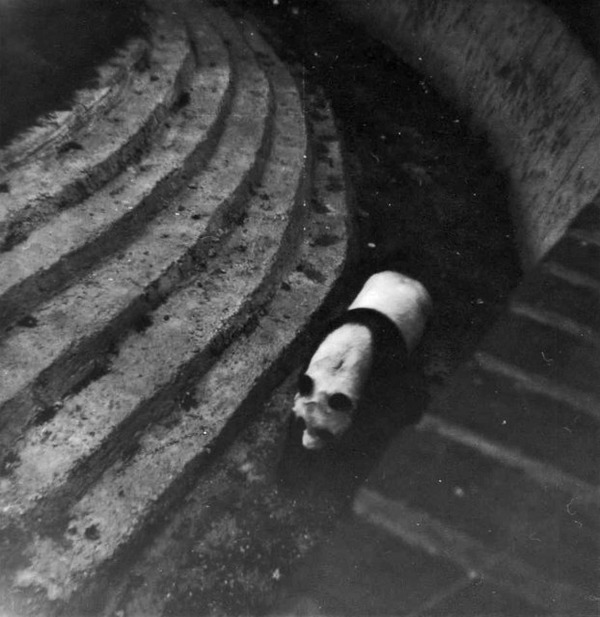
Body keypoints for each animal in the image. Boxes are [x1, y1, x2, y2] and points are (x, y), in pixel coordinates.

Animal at [290, 270, 432, 448]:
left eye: (324, 433)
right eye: (301, 422)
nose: (307, 446)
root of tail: (406, 277)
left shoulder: (385, 364)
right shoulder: (322, 337)